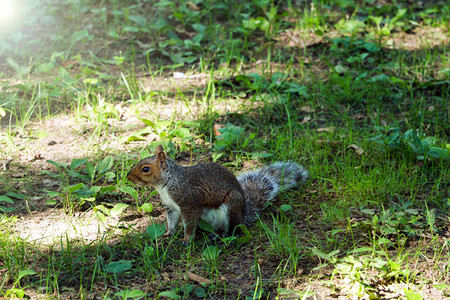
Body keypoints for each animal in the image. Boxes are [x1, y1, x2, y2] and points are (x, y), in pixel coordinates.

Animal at [127, 145, 310, 244]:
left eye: (145, 169)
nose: (128, 177)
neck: (166, 184)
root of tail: (243, 215)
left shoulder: (190, 202)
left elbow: (190, 224)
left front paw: (186, 240)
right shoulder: (171, 207)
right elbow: (172, 221)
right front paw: (168, 233)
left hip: (231, 206)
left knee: (233, 229)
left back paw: (223, 236)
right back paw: (214, 234)